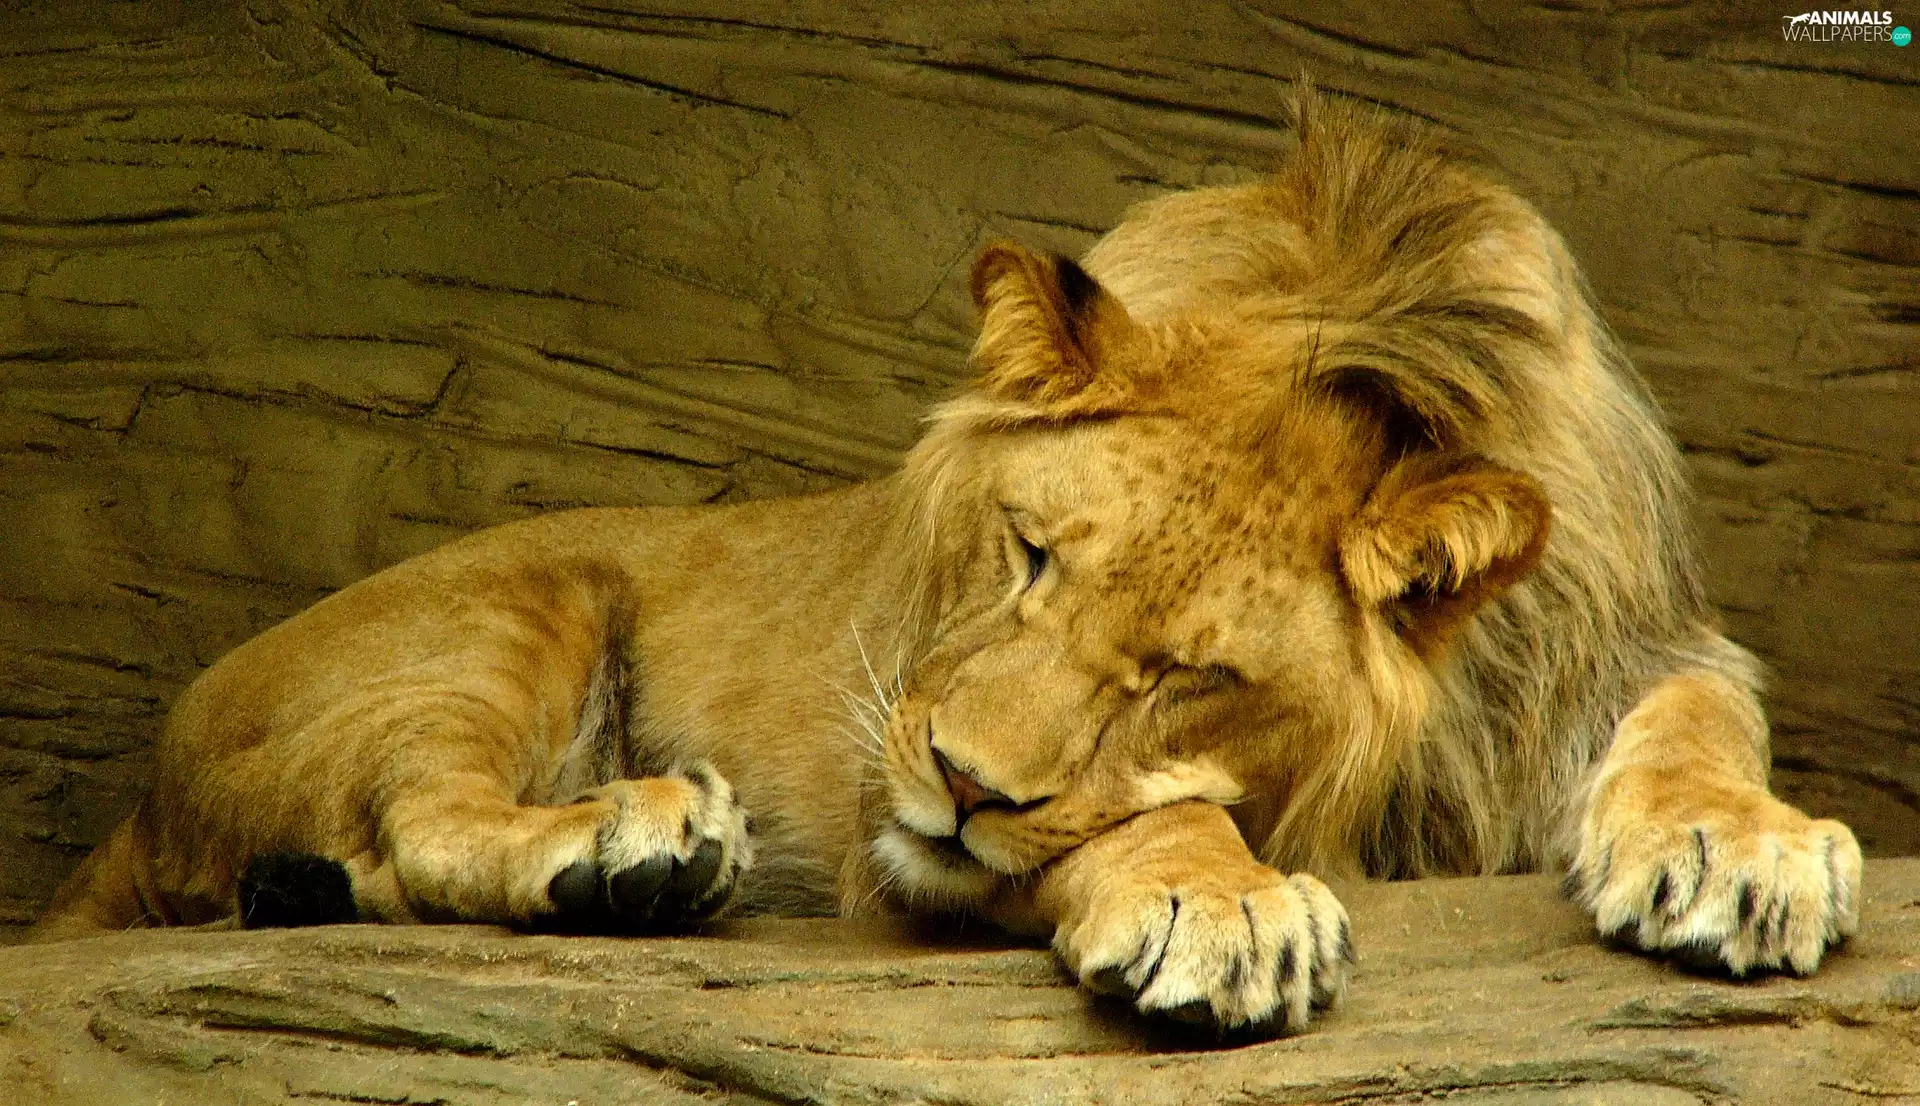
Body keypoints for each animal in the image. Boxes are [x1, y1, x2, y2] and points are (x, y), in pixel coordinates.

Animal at [30, 91, 1862, 1039]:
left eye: (1190, 671)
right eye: (1026, 552)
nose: (966, 781)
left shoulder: (1636, 641)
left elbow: (1705, 724)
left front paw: (1747, 852)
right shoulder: (885, 832)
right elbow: (1130, 828)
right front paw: (1218, 898)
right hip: (523, 605)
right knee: (410, 823)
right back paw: (638, 844)